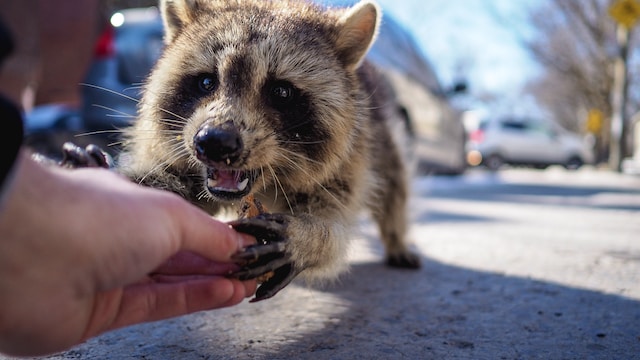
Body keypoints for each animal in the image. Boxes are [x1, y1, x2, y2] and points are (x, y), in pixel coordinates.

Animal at [117, 0, 422, 302]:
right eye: (206, 82)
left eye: (281, 92)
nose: (215, 142)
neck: (266, 181)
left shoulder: (353, 156)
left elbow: (336, 224)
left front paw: (310, 237)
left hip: (382, 135)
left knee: (395, 183)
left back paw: (396, 237)